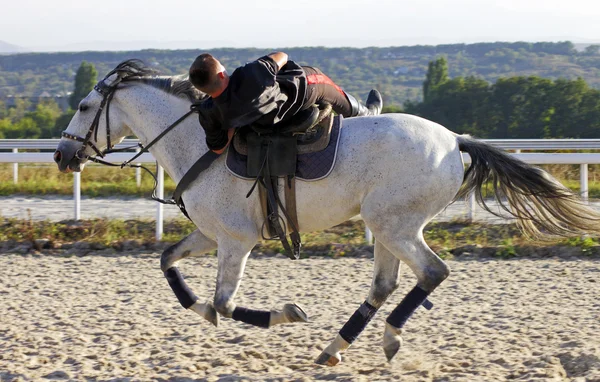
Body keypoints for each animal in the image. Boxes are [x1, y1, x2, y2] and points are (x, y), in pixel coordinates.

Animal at [55, 61, 600, 366]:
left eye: (82, 106)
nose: (62, 155)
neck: (201, 141)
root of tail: (454, 140)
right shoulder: (211, 235)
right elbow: (169, 263)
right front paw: (201, 309)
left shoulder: (235, 242)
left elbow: (228, 302)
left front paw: (285, 314)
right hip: (387, 227)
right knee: (385, 284)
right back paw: (335, 348)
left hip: (394, 225)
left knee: (432, 272)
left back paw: (387, 337)